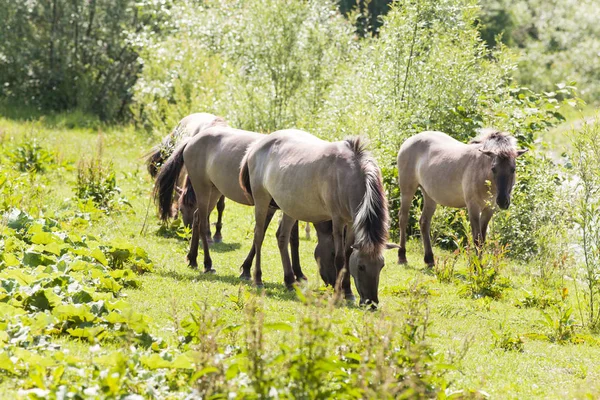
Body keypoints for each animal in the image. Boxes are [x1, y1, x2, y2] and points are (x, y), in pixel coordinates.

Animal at [154, 126, 338, 286]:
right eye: (333, 253)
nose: (334, 282)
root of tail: (192, 140)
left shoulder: (277, 207)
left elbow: (274, 236)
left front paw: (249, 269)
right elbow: (287, 238)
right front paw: (294, 274)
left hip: (214, 191)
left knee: (198, 217)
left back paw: (193, 259)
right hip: (204, 189)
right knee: (203, 222)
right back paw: (207, 264)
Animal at [239, 130, 398, 304]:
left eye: (381, 266)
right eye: (361, 267)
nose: (372, 303)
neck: (349, 176)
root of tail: (255, 147)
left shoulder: (351, 222)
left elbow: (347, 255)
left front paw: (348, 292)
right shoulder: (338, 220)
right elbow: (341, 258)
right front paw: (338, 294)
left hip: (289, 207)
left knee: (282, 237)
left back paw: (290, 281)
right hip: (262, 201)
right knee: (259, 236)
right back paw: (258, 279)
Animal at [396, 129, 528, 266]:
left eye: (513, 169)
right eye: (493, 169)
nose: (503, 201)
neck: (482, 171)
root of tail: (409, 140)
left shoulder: (489, 209)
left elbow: (482, 239)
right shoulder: (473, 207)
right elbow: (477, 239)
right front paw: (476, 267)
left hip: (430, 196)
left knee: (424, 222)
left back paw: (430, 259)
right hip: (407, 190)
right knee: (403, 218)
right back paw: (402, 256)